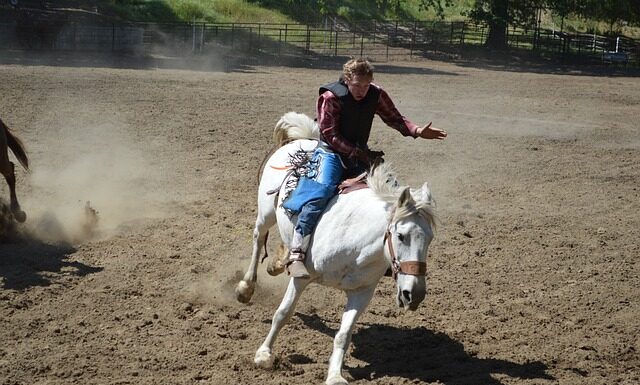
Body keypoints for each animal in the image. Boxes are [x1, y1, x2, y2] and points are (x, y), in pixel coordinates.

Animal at [238, 111, 438, 384]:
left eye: (429, 239)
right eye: (401, 235)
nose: (414, 295)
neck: (357, 247)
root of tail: (305, 140)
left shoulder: (362, 292)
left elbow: (344, 333)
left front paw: (335, 375)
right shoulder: (302, 278)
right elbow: (283, 313)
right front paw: (264, 355)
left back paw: (278, 263)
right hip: (266, 212)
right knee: (258, 239)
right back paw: (246, 288)